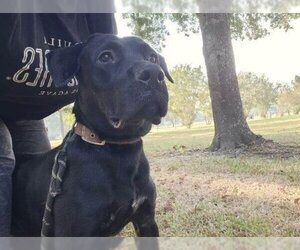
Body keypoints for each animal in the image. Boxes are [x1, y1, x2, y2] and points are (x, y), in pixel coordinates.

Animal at [11, 33, 172, 236]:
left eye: (152, 57)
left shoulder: (146, 220)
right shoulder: (74, 232)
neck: (119, 150)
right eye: (105, 57)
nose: (153, 74)